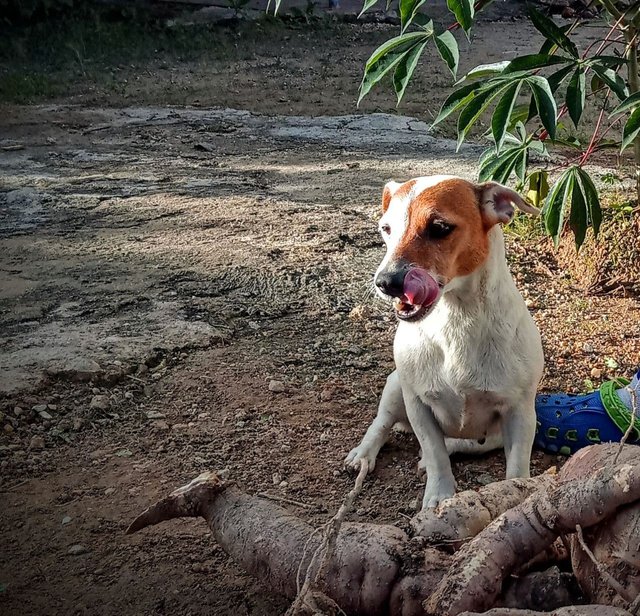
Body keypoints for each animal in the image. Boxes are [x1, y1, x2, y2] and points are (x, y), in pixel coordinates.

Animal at [348, 174, 544, 510]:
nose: (385, 282)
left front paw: (515, 493)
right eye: (386, 229)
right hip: (396, 385)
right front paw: (439, 498)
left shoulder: (520, 412)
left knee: (462, 442)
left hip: (493, 435)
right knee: (383, 423)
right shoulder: (418, 406)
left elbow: (517, 466)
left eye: (439, 227)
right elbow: (436, 454)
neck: (456, 318)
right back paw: (364, 453)